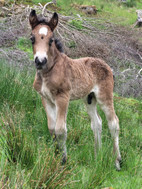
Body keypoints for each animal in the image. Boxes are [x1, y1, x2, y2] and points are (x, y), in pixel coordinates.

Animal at [29, 9, 121, 171]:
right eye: (32, 38)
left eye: (51, 40)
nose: (40, 61)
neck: (49, 71)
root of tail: (106, 65)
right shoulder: (46, 99)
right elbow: (52, 128)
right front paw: (56, 156)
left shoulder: (62, 98)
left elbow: (60, 130)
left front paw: (63, 161)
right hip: (89, 99)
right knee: (97, 123)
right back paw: (97, 156)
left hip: (105, 96)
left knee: (113, 123)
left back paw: (117, 161)